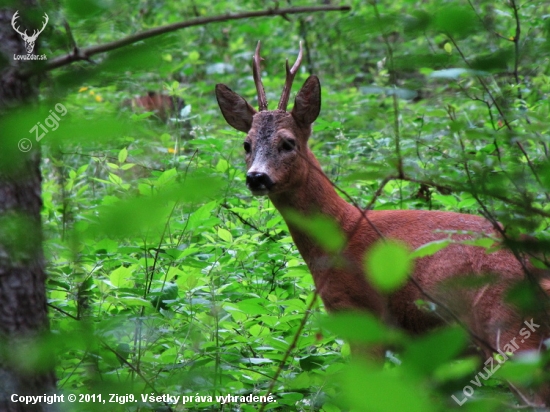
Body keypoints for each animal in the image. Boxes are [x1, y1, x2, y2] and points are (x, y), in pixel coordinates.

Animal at [217, 41, 550, 406]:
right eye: (246, 144)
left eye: (288, 142)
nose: (256, 177)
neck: (341, 232)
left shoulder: (362, 315)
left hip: (506, 322)